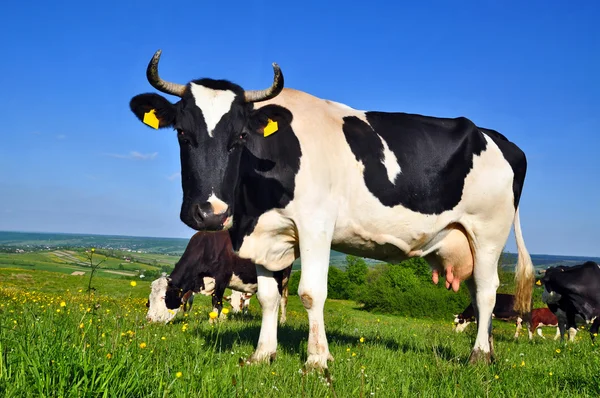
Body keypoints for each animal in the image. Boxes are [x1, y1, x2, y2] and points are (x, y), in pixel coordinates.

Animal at [130, 49, 536, 366]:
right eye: (182, 133)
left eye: (240, 137)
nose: (210, 213)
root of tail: (497, 137)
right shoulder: (266, 234)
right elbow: (267, 297)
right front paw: (262, 355)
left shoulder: (316, 225)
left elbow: (312, 293)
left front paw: (317, 360)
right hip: (464, 237)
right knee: (475, 293)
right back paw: (489, 351)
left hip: (488, 232)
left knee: (486, 291)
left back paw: (479, 356)